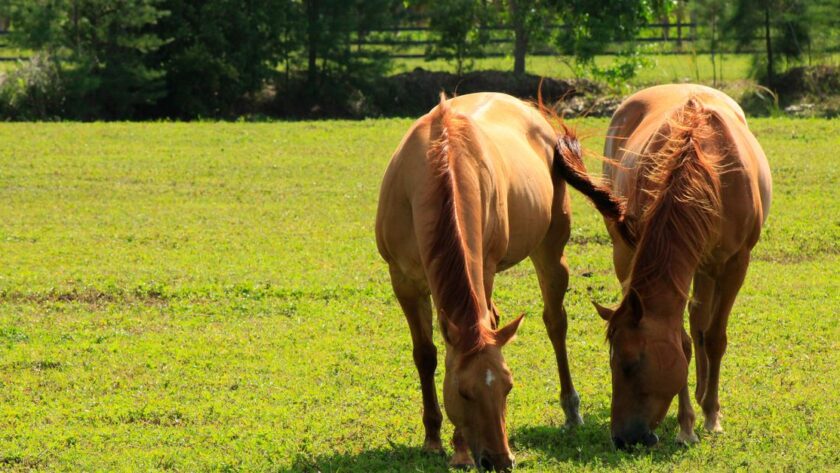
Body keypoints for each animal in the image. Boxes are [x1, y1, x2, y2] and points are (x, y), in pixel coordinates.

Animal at [376, 92, 599, 470]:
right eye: (463, 392)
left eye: (508, 387)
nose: (500, 460)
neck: (439, 162)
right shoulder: (403, 280)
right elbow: (425, 354)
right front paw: (433, 440)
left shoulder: (484, 268)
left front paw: (460, 450)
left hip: (550, 250)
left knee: (555, 323)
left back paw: (571, 410)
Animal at [555, 84, 772, 448]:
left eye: (630, 365)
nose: (622, 438)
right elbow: (682, 341)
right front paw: (687, 425)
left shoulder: (735, 264)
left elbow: (715, 337)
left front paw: (712, 416)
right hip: (632, 253)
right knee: (695, 320)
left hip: (708, 266)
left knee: (701, 321)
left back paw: (705, 397)